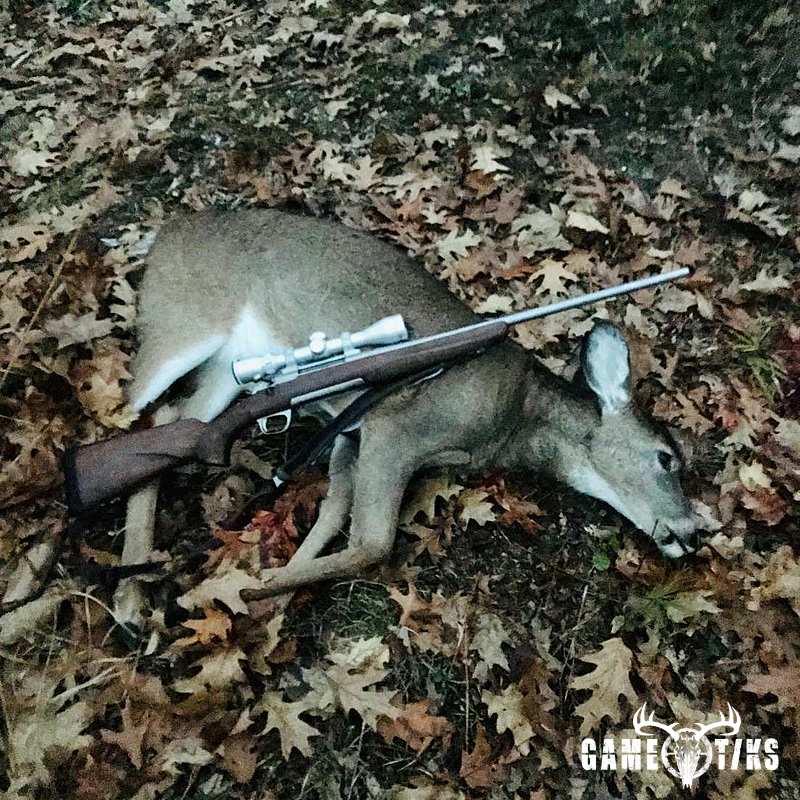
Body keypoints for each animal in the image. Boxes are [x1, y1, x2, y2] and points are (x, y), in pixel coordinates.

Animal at [100, 207, 700, 625]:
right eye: (667, 458)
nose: (695, 533)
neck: (514, 419)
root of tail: (167, 230)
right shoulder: (396, 427)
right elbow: (373, 543)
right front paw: (243, 588)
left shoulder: (354, 433)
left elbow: (334, 514)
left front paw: (276, 592)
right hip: (181, 321)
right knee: (137, 413)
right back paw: (130, 597)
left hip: (228, 371)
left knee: (176, 419)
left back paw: (133, 597)